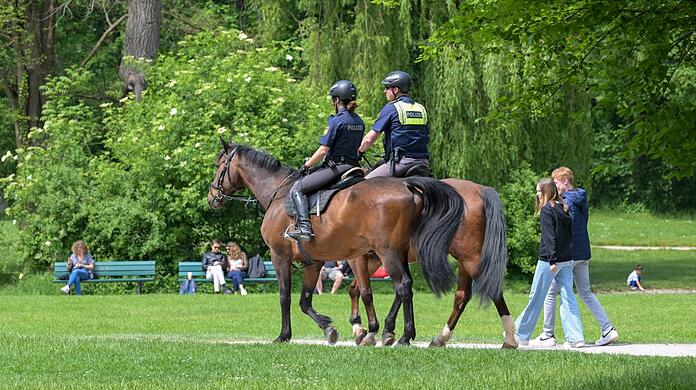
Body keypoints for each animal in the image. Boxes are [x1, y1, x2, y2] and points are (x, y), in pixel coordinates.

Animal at [209, 142, 464, 344]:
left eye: (219, 166)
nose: (213, 197)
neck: (278, 194)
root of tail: (407, 185)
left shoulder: (280, 255)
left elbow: (285, 296)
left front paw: (284, 335)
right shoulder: (314, 262)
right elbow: (306, 300)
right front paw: (329, 328)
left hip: (388, 253)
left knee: (403, 286)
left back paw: (405, 336)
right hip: (396, 253)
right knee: (406, 288)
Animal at [346, 178, 516, 348]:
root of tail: (479, 189)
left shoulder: (360, 259)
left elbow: (366, 292)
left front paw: (366, 331)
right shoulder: (377, 260)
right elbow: (357, 289)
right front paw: (375, 330)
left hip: (470, 258)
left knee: (491, 290)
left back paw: (509, 339)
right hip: (466, 259)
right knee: (462, 296)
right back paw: (441, 337)